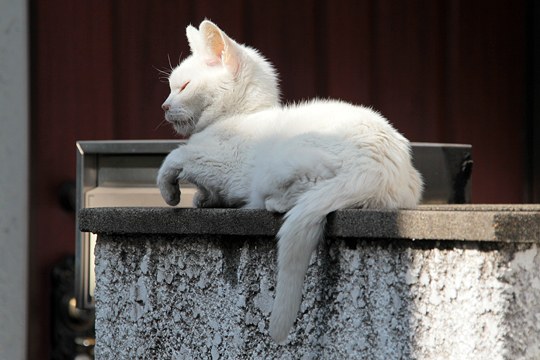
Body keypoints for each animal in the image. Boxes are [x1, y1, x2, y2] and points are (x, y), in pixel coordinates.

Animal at [156, 20, 422, 344]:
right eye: (171, 87)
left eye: (183, 86)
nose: (164, 106)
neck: (240, 116)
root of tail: (383, 168)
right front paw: (202, 199)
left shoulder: (222, 163)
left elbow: (176, 157)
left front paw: (170, 192)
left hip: (280, 164)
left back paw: (273, 202)